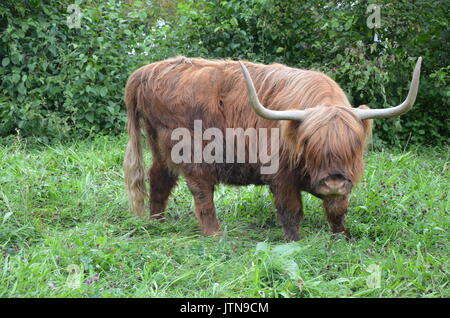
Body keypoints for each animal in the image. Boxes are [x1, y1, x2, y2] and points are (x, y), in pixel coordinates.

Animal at [123, 57, 422, 241]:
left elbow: (337, 210)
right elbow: (291, 210)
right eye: (310, 144)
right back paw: (214, 234)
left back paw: (157, 222)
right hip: (191, 150)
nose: (334, 182)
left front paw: (341, 238)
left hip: (160, 145)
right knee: (201, 192)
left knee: (159, 178)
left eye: (354, 145)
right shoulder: (281, 175)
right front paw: (294, 242)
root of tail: (145, 71)